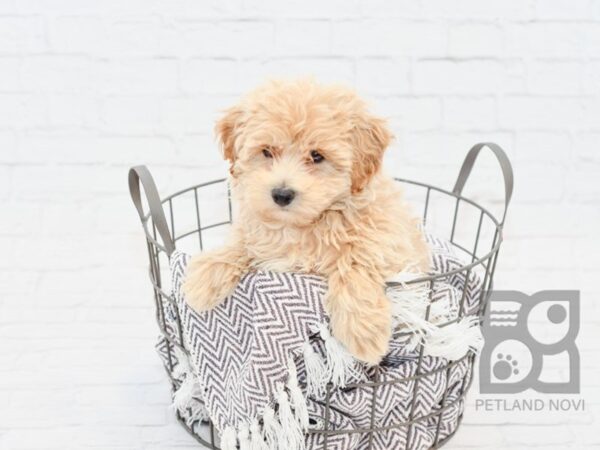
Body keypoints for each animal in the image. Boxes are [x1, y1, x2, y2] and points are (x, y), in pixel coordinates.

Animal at [185, 79, 428, 364]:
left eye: (317, 156)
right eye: (267, 151)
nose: (281, 194)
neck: (304, 225)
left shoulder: (387, 240)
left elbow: (357, 259)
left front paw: (363, 330)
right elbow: (241, 241)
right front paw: (204, 278)